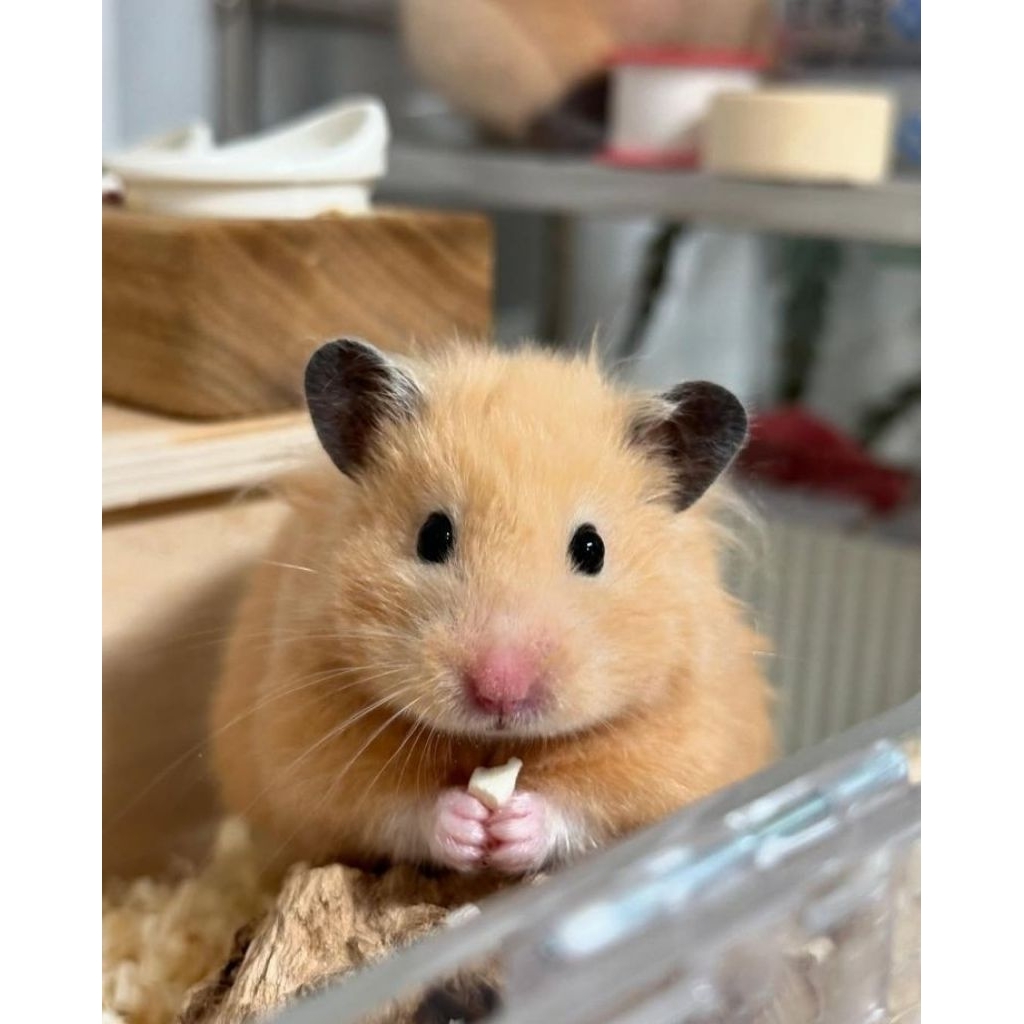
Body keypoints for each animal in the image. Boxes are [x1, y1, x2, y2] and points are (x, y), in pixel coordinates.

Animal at [211, 338, 773, 874]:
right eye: (432, 535)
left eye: (592, 548)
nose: (501, 692)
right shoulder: (308, 739)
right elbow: (389, 807)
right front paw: (466, 824)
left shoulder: (679, 746)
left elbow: (591, 806)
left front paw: (513, 826)